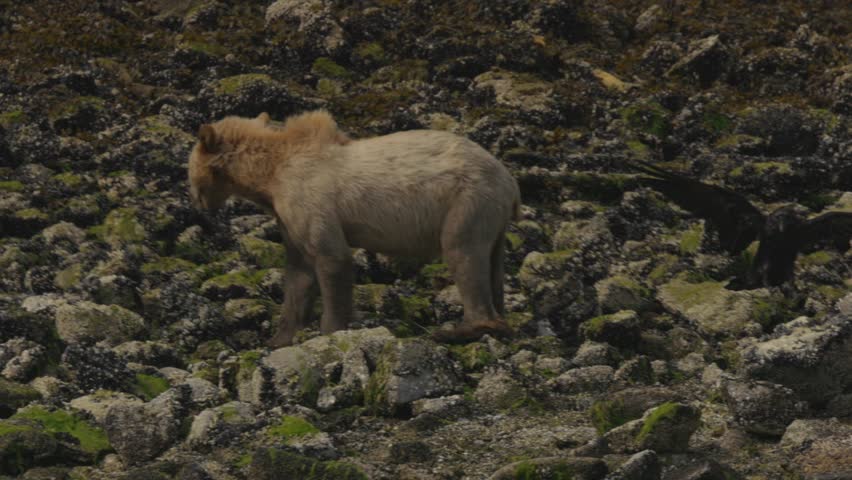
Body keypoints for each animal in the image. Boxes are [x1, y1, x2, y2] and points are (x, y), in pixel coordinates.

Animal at [187, 110, 521, 348]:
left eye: (189, 171)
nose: (198, 203)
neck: (269, 176)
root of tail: (510, 181)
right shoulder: (287, 216)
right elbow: (298, 273)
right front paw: (276, 339)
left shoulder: (309, 198)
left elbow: (331, 259)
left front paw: (330, 330)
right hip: (492, 219)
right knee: (491, 265)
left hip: (467, 201)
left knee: (462, 254)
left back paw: (459, 329)